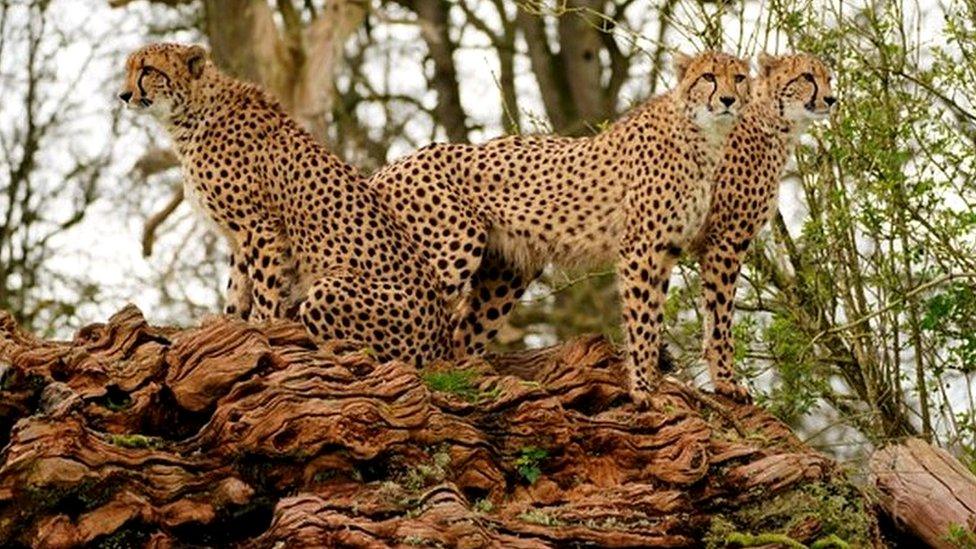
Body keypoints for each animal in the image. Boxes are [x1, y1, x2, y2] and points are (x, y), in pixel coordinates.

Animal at [120, 42, 452, 364]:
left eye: (147, 70)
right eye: (129, 70)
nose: (123, 96)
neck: (191, 115)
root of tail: (441, 340)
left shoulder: (258, 225)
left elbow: (264, 286)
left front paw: (262, 326)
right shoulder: (239, 237)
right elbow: (238, 288)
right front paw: (231, 324)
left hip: (329, 289)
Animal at [370, 51, 752, 402]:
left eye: (740, 79)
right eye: (708, 77)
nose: (728, 100)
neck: (702, 135)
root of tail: (393, 165)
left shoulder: (673, 248)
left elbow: (697, 316)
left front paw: (721, 384)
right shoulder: (643, 247)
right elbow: (643, 319)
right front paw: (643, 388)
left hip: (505, 275)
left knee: (462, 334)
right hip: (452, 249)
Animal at [688, 53, 840, 400]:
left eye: (828, 79)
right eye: (807, 77)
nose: (831, 99)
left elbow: (708, 312)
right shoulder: (727, 239)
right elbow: (721, 315)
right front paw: (726, 381)